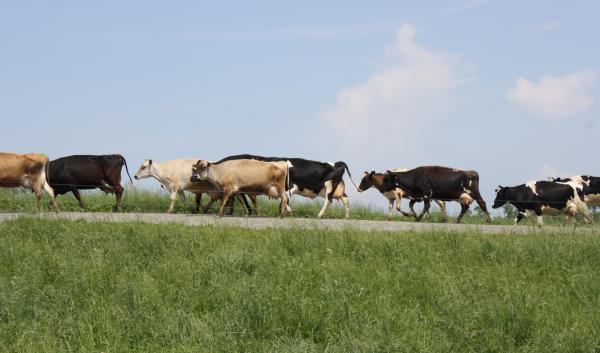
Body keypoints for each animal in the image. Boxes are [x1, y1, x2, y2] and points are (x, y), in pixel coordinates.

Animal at [216, 153, 356, 217]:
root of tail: (338, 163)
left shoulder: (287, 188)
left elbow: (284, 201)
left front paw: (286, 212)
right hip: (337, 189)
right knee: (345, 199)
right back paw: (347, 216)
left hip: (329, 187)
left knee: (328, 200)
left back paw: (319, 215)